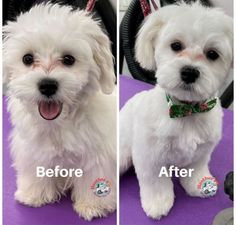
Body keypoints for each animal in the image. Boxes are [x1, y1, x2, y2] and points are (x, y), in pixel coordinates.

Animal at [3, 3, 117, 221]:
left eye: (68, 59)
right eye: (27, 58)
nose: (47, 85)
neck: (59, 123)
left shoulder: (97, 155)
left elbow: (93, 176)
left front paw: (93, 205)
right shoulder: (32, 150)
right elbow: (35, 170)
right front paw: (34, 194)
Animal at [121, 1, 233, 220]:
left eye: (212, 54)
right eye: (176, 46)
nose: (189, 72)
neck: (187, 110)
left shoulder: (201, 151)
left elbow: (196, 169)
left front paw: (199, 185)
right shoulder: (150, 156)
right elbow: (155, 183)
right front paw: (158, 204)